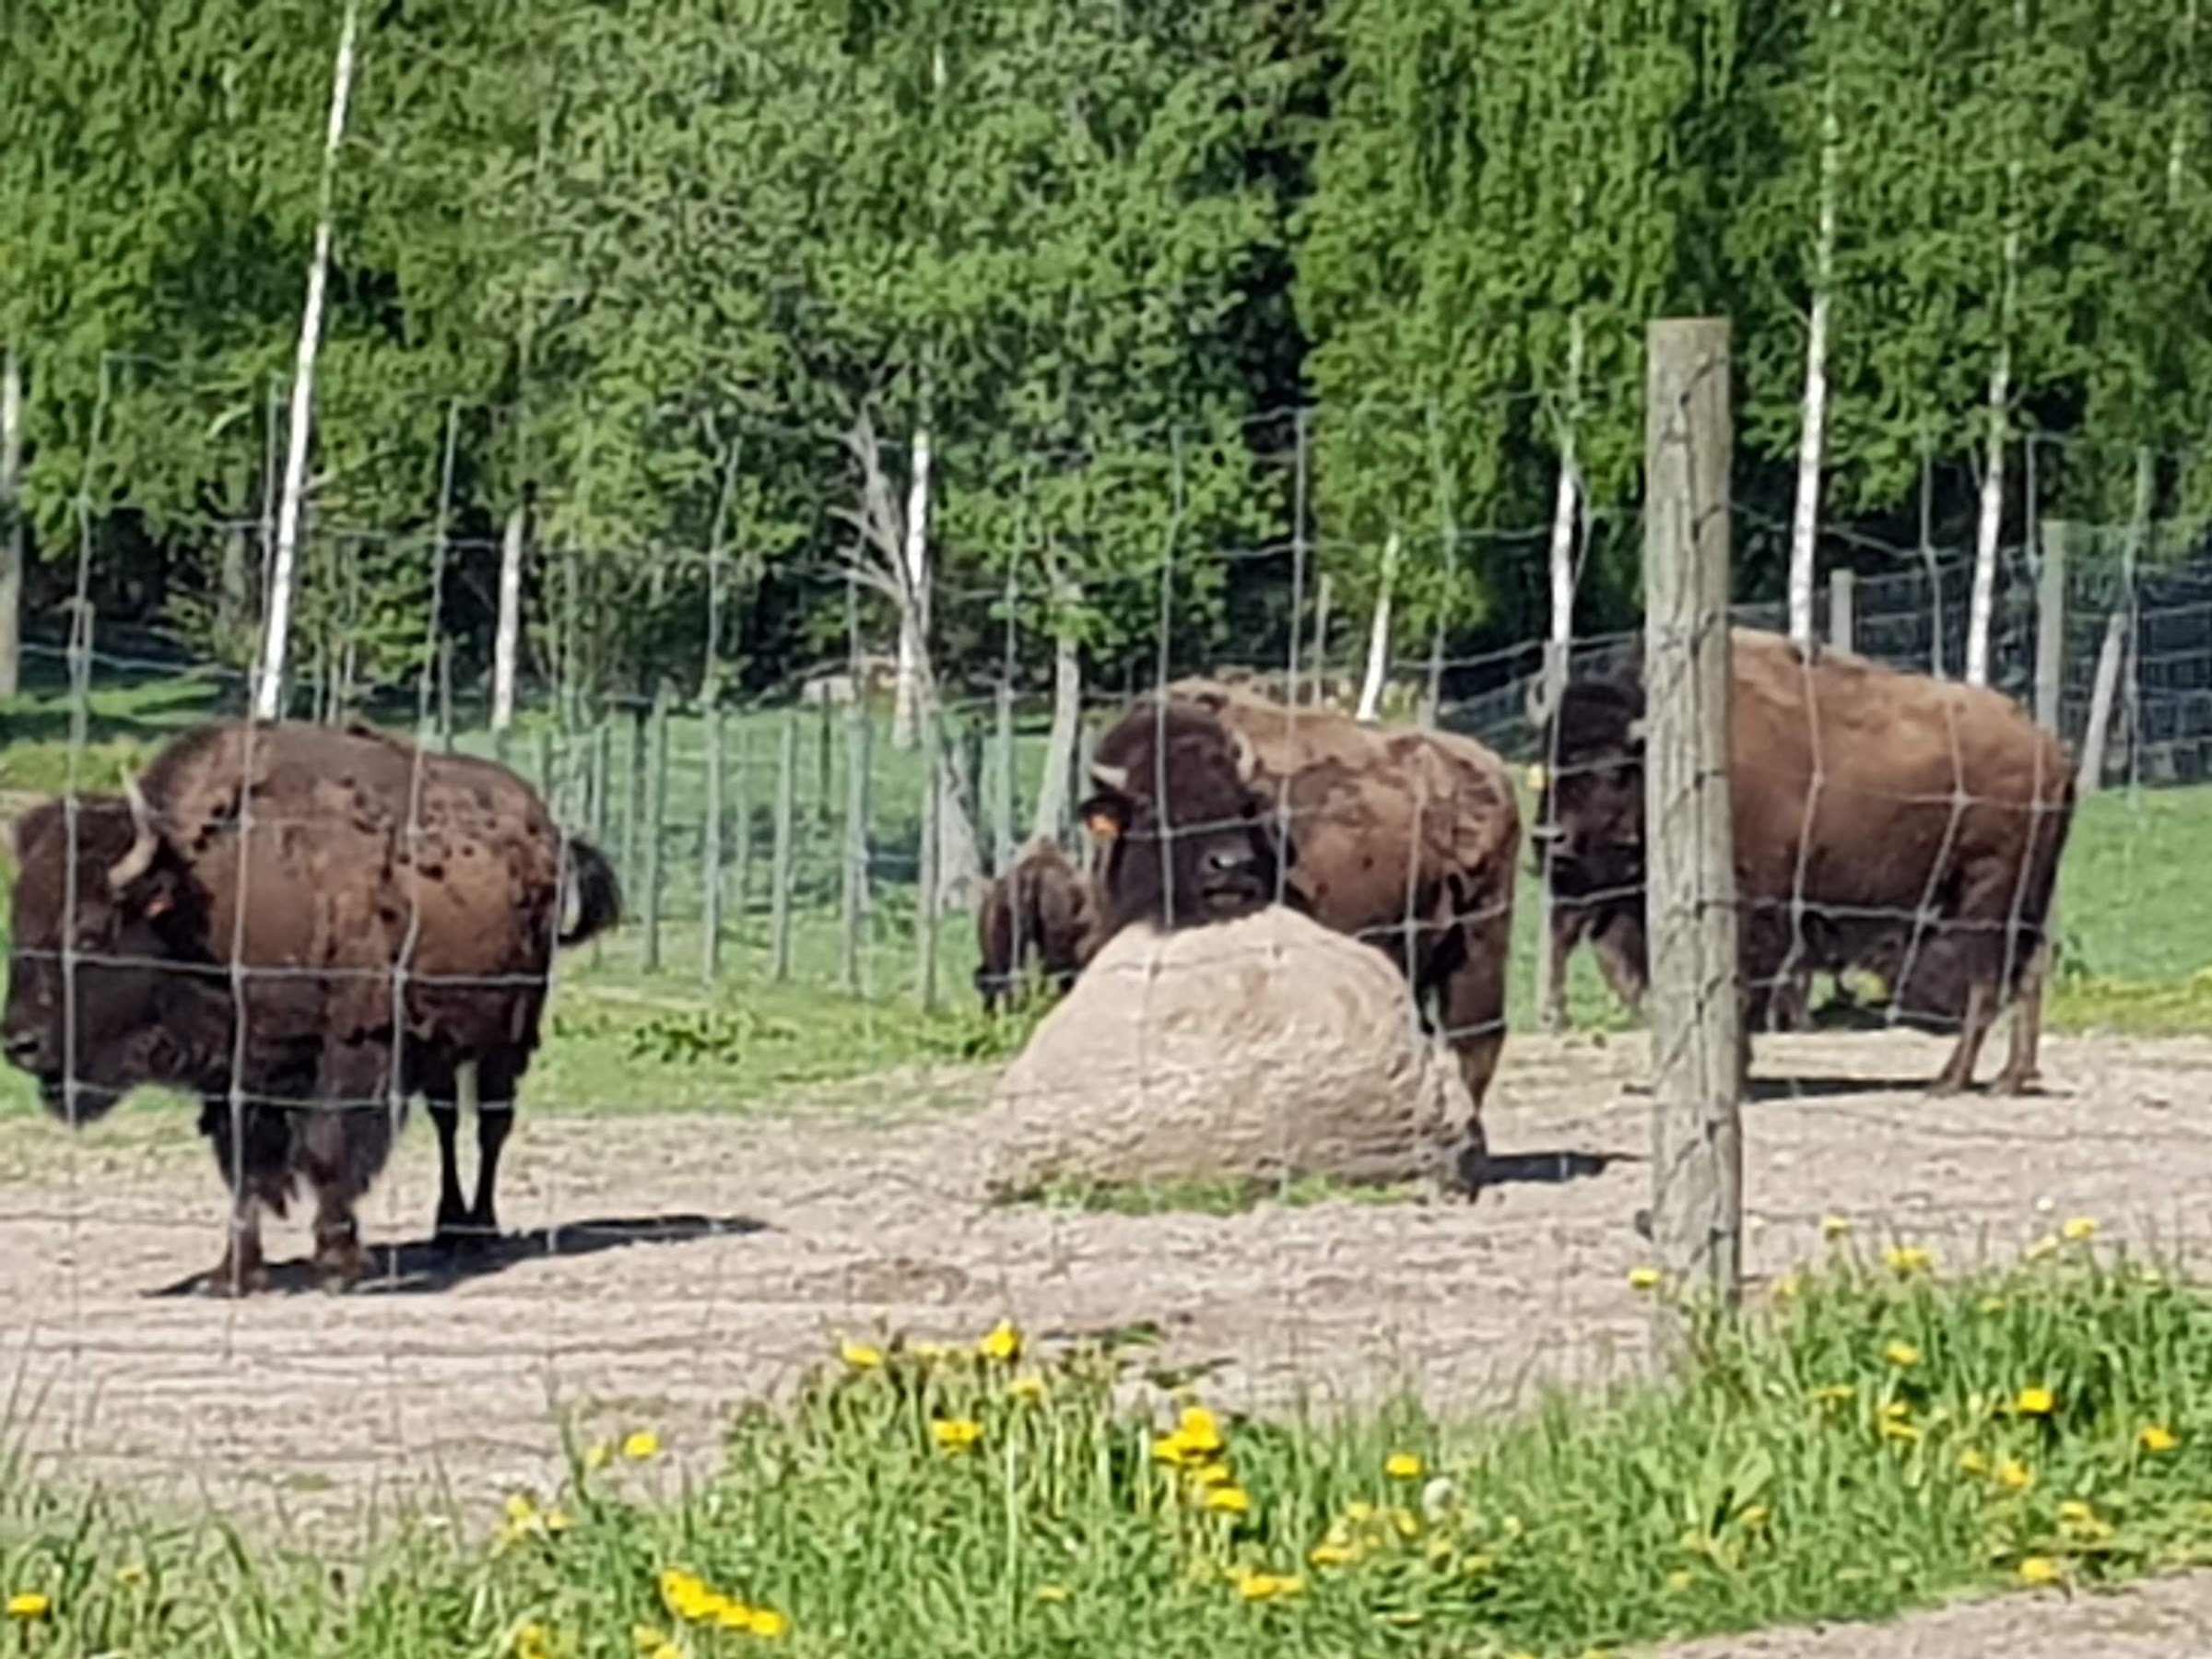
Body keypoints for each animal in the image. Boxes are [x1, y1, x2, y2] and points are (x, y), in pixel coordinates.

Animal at [3, 719, 621, 1292]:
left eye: (88, 933)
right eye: (20, 926)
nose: (20, 1044)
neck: (215, 900)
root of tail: (548, 831)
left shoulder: (352, 1050)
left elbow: (328, 1150)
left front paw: (339, 1264)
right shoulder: (239, 1069)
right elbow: (244, 1164)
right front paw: (233, 1274)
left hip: (509, 1034)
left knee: (492, 1125)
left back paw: (480, 1233)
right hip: (442, 1041)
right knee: (447, 1121)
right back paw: (448, 1230)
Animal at [1080, 679, 1522, 1128]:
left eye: (1241, 804)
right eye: (1151, 806)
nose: (1230, 865)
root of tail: (1490, 766)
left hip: (1480, 941)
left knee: (1475, 1042)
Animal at [1535, 628, 2074, 1092]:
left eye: (1610, 768)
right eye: (1548, 763)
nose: (1549, 837)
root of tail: (2049, 748)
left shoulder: (1752, 911)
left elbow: (1740, 988)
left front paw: (1738, 1077)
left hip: (1986, 897)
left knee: (1987, 982)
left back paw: (1950, 1081)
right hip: (2026, 899)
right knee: (2028, 975)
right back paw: (2008, 1079)